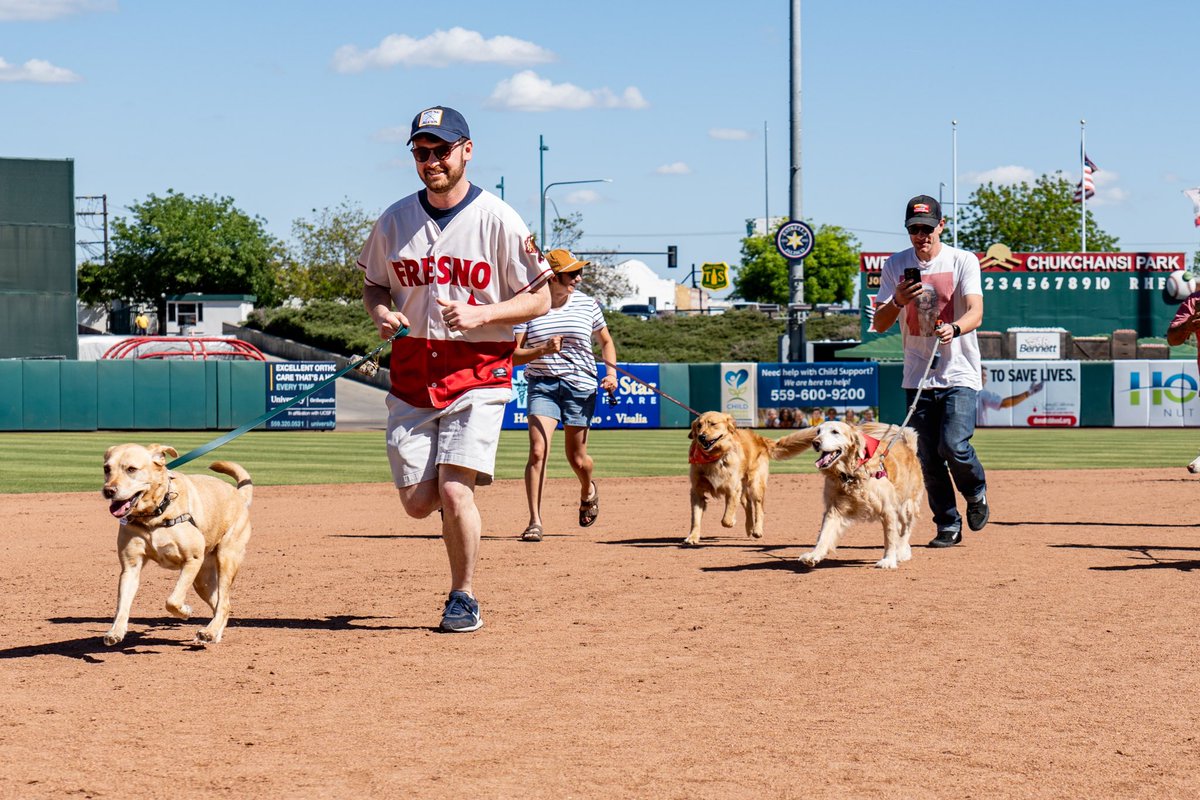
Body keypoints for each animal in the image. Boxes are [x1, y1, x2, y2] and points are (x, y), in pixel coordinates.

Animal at [101, 443, 253, 642]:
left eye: (131, 469)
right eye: (107, 468)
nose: (108, 491)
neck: (154, 516)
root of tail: (238, 494)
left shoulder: (192, 559)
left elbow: (172, 601)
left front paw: (185, 610)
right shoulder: (130, 566)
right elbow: (122, 604)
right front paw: (116, 631)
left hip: (226, 558)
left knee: (224, 603)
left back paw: (209, 631)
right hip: (202, 579)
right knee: (223, 604)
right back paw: (211, 634)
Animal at [686, 410, 816, 546]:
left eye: (713, 424)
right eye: (699, 425)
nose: (701, 437)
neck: (714, 459)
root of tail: (760, 438)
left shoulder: (732, 489)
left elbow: (726, 519)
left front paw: (732, 520)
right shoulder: (697, 491)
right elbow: (695, 518)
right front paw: (693, 537)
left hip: (755, 485)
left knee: (759, 507)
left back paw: (757, 530)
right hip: (743, 489)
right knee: (748, 504)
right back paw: (749, 527)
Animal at [796, 419, 926, 568]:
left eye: (835, 432)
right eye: (818, 431)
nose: (815, 442)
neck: (851, 474)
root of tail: (908, 448)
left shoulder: (887, 509)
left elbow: (889, 537)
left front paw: (888, 560)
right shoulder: (834, 509)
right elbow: (824, 534)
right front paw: (814, 554)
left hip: (906, 506)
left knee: (905, 530)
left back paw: (901, 552)